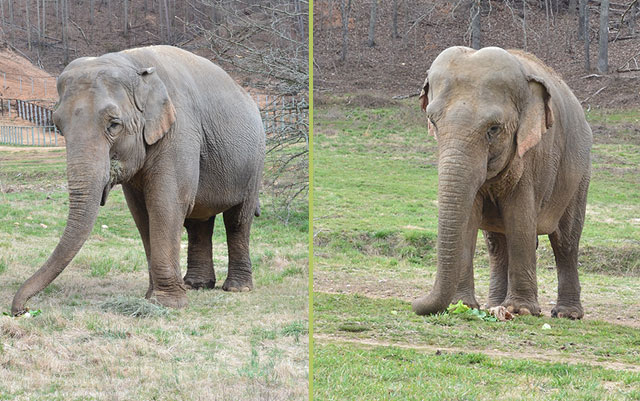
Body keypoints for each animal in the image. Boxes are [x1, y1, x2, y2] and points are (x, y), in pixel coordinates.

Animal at [10, 45, 264, 314]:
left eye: (113, 125)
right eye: (58, 127)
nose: (21, 310)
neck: (131, 62)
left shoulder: (180, 131)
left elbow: (165, 204)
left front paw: (167, 304)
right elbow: (141, 212)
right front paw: (151, 297)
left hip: (255, 162)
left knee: (238, 219)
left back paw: (237, 288)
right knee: (199, 222)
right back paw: (196, 285)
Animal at [412, 45, 592, 318]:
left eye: (494, 129)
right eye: (433, 122)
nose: (414, 302)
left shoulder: (534, 156)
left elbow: (520, 218)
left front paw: (522, 310)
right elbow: (469, 218)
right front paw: (462, 304)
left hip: (580, 174)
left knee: (566, 241)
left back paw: (566, 314)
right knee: (496, 244)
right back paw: (493, 305)